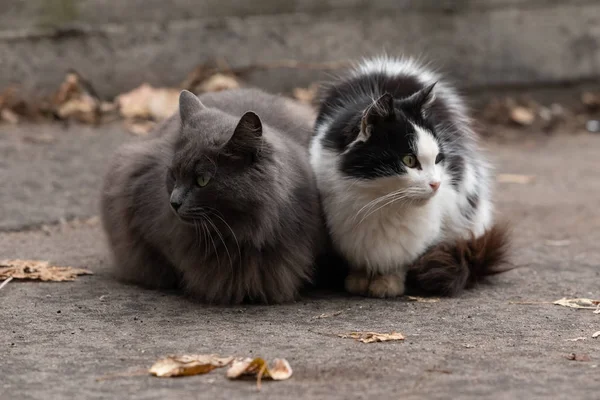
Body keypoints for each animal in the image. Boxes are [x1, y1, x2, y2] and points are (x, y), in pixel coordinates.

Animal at [310, 55, 510, 296]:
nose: (436, 184)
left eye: (438, 158)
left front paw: (388, 282)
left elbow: (404, 257)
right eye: (409, 161)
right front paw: (359, 278)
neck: (381, 204)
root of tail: (392, 66)